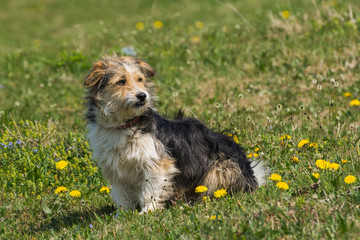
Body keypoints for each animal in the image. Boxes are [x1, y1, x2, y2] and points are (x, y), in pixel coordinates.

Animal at [83, 54, 264, 214]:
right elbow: (121, 195)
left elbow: (150, 191)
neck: (125, 125)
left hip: (219, 170)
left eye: (140, 79)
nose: (142, 96)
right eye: (121, 82)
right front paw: (122, 215)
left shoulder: (157, 165)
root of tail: (252, 176)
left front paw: (148, 212)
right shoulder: (116, 170)